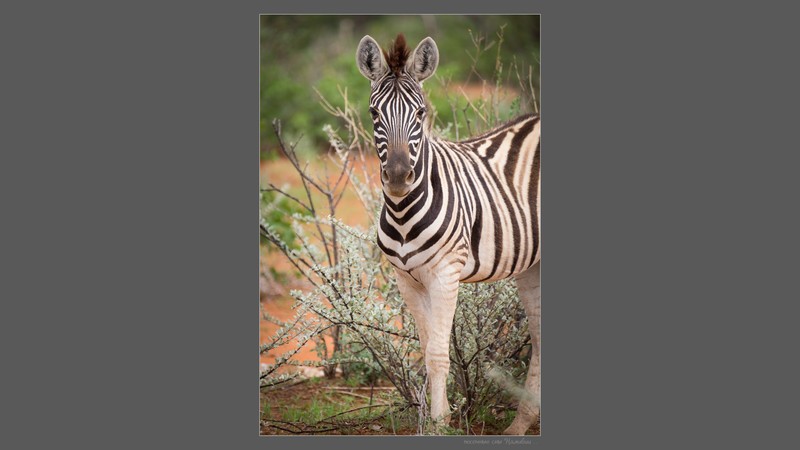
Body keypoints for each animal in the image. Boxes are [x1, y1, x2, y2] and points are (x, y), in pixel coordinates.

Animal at [360, 33, 540, 434]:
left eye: (420, 113)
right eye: (374, 114)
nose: (399, 177)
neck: (402, 212)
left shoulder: (445, 273)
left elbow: (440, 353)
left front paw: (441, 422)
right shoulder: (406, 279)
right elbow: (427, 349)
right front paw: (429, 419)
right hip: (533, 266)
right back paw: (521, 424)